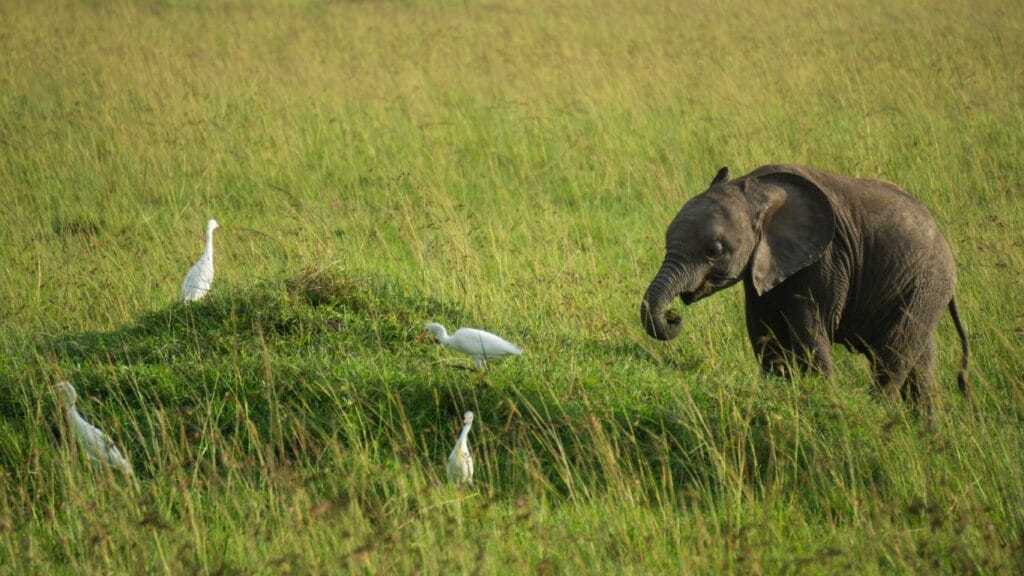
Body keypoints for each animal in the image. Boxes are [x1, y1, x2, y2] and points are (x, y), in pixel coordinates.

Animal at [640, 164, 969, 410]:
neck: (756, 189)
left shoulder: (826, 259)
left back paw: (877, 413)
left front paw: (824, 398)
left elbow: (809, 330)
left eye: (714, 251)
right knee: (921, 368)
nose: (673, 316)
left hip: (924, 285)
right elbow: (763, 331)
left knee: (893, 354)